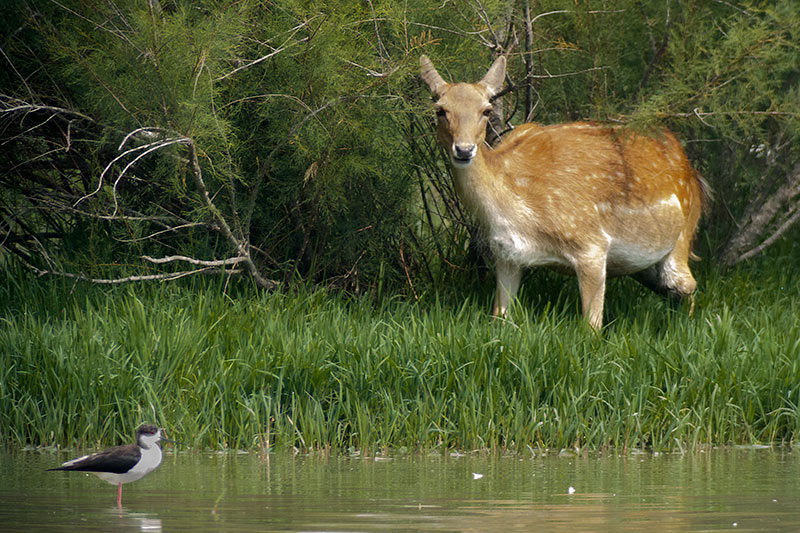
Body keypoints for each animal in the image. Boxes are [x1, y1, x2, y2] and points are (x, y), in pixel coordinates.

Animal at [418, 55, 708, 328]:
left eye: (486, 110)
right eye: (440, 110)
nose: (464, 150)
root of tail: (695, 175)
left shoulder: (591, 245)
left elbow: (591, 328)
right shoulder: (506, 254)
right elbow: (500, 317)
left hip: (683, 235)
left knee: (688, 286)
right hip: (641, 265)